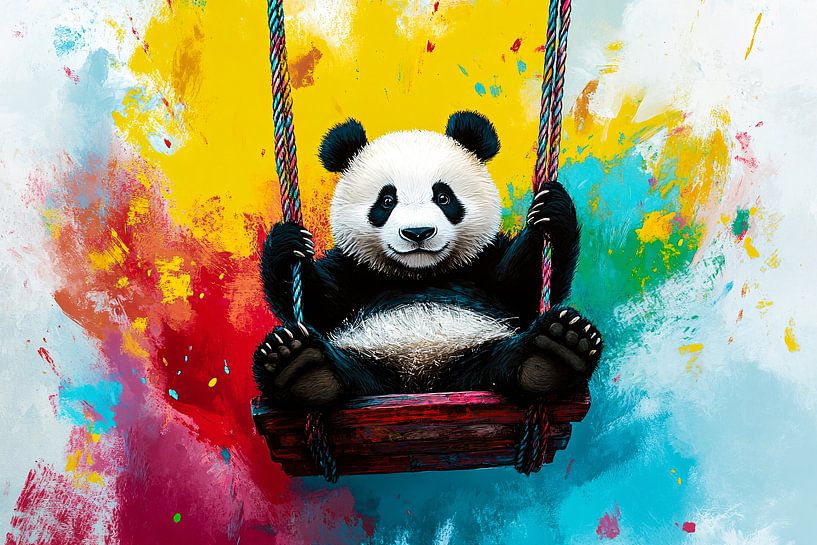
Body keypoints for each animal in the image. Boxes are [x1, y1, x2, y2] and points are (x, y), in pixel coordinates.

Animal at [253, 111, 602, 406]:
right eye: (387, 201)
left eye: (444, 197)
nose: (418, 232)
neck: (421, 274)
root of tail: (424, 381)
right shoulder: (354, 271)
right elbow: (320, 304)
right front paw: (287, 244)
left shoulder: (482, 264)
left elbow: (522, 288)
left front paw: (551, 212)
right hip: (372, 358)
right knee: (350, 373)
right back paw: (300, 367)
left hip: (473, 356)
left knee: (502, 362)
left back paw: (556, 352)